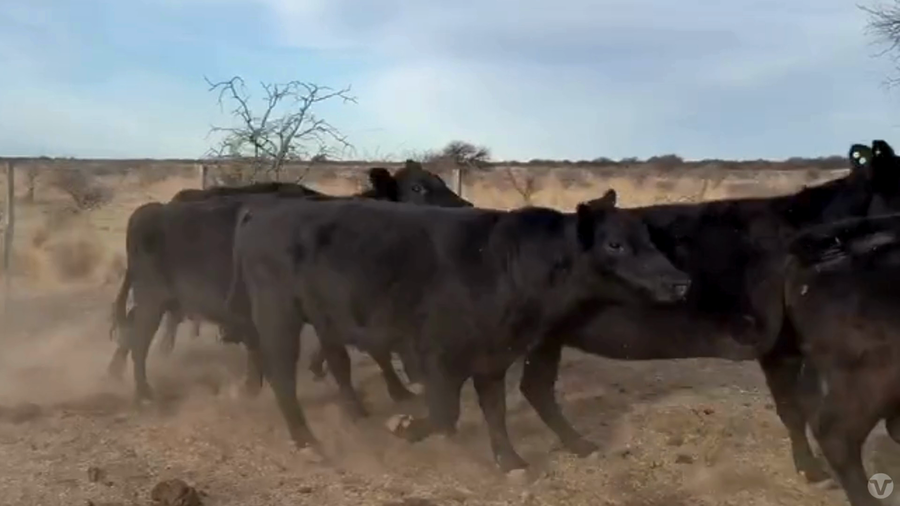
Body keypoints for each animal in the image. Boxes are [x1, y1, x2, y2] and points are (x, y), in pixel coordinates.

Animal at [108, 162, 471, 404]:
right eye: (418, 188)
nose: (467, 207)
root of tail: (151, 211)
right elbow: (373, 348)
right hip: (153, 298)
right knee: (139, 337)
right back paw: (141, 389)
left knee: (131, 330)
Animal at [227, 188, 691, 474]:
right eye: (614, 244)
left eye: (648, 237)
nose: (680, 281)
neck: (506, 265)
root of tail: (265, 210)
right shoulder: (436, 356)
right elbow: (444, 413)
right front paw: (405, 427)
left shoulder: (493, 356)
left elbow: (494, 410)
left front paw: (511, 462)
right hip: (278, 316)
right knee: (282, 376)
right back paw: (306, 439)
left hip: (326, 319)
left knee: (336, 363)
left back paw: (353, 416)